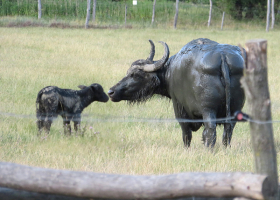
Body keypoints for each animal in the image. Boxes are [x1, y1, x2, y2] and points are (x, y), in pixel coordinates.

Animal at [109, 38, 245, 148]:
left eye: (136, 75)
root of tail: (223, 57)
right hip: (234, 110)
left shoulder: (179, 108)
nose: (111, 91)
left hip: (208, 110)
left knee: (210, 131)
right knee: (227, 132)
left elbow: (186, 135)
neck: (170, 70)